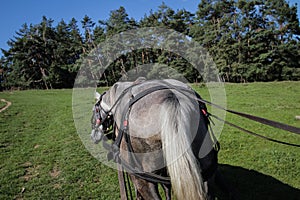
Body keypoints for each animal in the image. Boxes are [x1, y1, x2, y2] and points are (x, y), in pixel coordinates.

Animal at [90, 78, 231, 200]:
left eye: (94, 110)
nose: (93, 136)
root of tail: (170, 98)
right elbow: (167, 188)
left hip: (142, 177)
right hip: (206, 169)